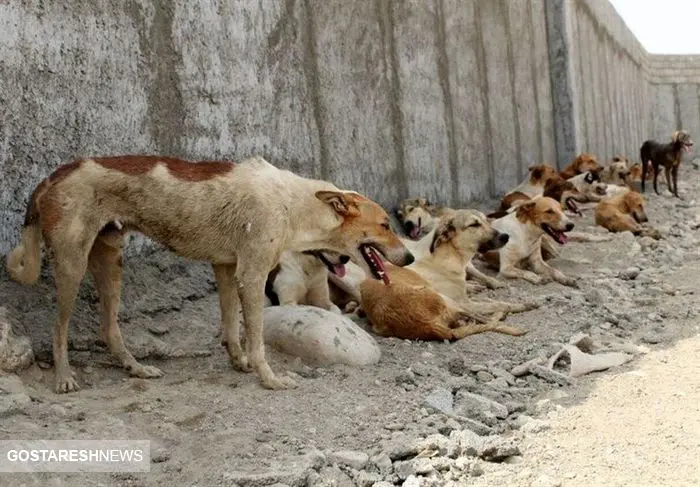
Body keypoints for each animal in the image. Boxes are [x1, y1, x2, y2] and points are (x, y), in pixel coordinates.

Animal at [8, 155, 412, 392]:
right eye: (384, 224)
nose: (409, 257)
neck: (294, 204)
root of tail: (51, 177)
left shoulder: (226, 268)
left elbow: (232, 328)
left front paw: (239, 364)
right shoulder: (251, 274)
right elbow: (257, 339)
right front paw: (269, 378)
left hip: (110, 263)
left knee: (108, 328)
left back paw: (136, 369)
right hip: (72, 266)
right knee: (58, 329)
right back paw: (64, 377)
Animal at [358, 212, 528, 342]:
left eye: (487, 220)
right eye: (474, 224)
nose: (506, 236)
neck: (447, 255)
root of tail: (428, 324)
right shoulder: (465, 303)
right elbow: (500, 304)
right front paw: (523, 304)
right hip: (450, 302)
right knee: (485, 318)